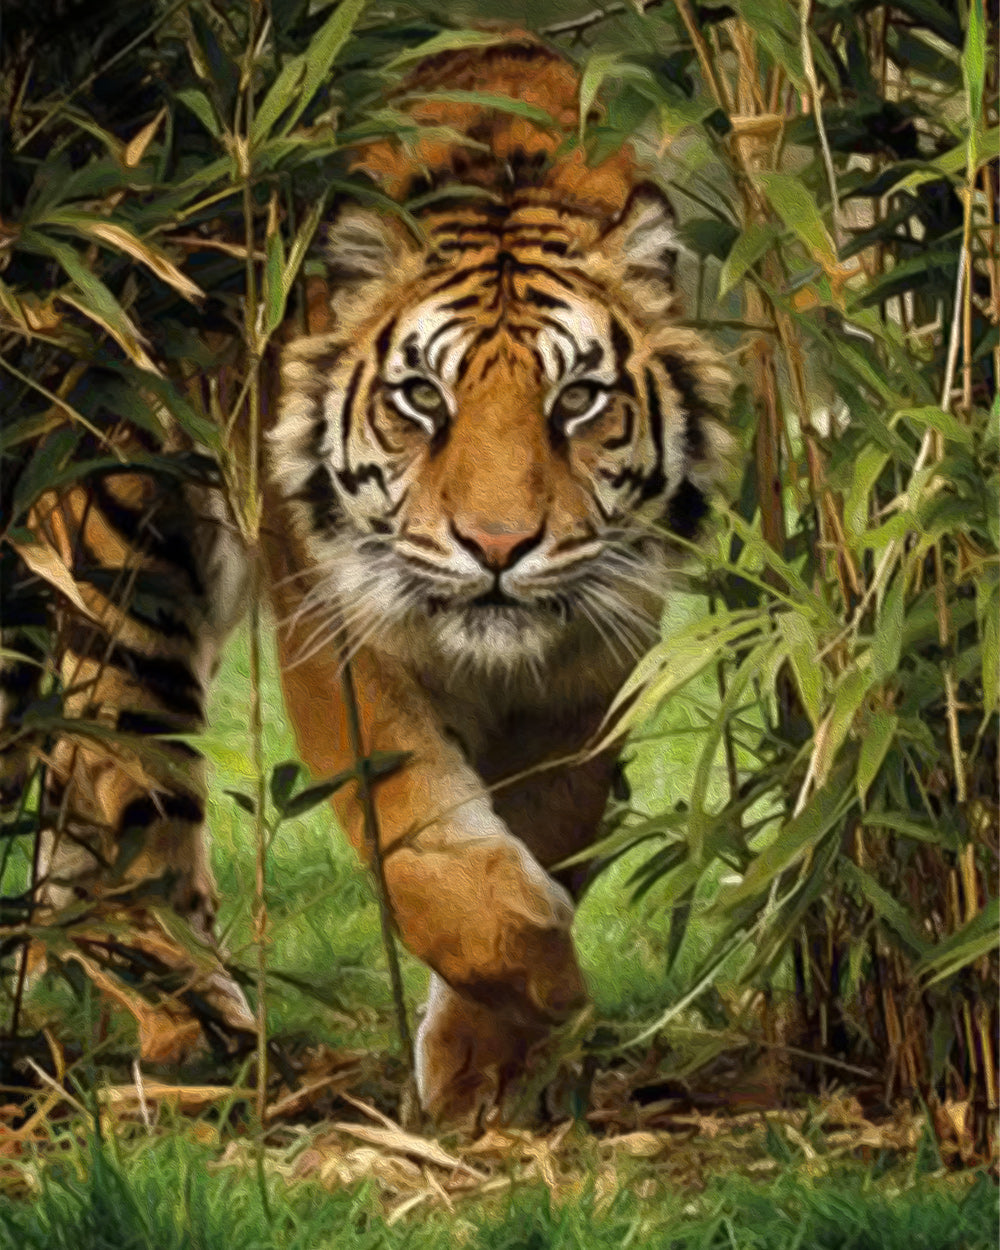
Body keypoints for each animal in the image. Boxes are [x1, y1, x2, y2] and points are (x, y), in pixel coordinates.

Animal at [2, 31, 730, 1126]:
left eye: (577, 400)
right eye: (421, 397)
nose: (498, 546)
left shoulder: (592, 659)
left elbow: (547, 825)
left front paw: (489, 1069)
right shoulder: (341, 635)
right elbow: (427, 851)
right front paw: (552, 986)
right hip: (128, 568)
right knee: (126, 792)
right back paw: (200, 1037)